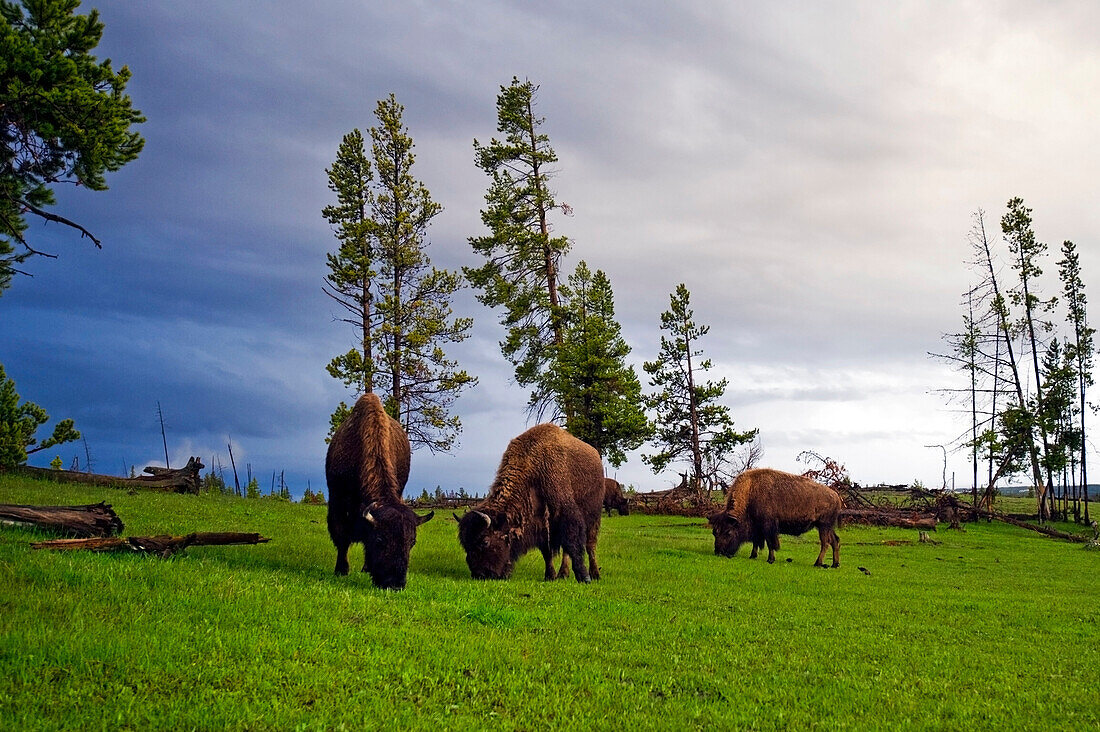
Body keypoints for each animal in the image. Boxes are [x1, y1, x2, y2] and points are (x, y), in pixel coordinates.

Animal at [323, 394, 431, 590]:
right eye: (380, 540)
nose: (395, 584)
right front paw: (341, 570)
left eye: (412, 542)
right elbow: (341, 538)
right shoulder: (337, 501)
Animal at [459, 422, 607, 581]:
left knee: (590, 545)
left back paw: (594, 574)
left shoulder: (567, 515)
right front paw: (550, 576)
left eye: (485, 541)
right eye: (465, 545)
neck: (534, 468)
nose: (480, 574)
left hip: (594, 517)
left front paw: (584, 577)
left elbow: (574, 545)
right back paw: (563, 574)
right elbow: (547, 553)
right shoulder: (541, 524)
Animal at [704, 464, 840, 567]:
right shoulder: (758, 527)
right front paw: (752, 556)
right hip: (827, 527)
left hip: (823, 526)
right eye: (714, 532)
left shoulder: (768, 527)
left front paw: (770, 559)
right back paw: (835, 564)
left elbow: (770, 543)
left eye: (728, 532)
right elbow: (756, 541)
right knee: (835, 541)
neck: (751, 490)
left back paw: (818, 563)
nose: (719, 551)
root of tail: (836, 497)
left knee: (825, 543)